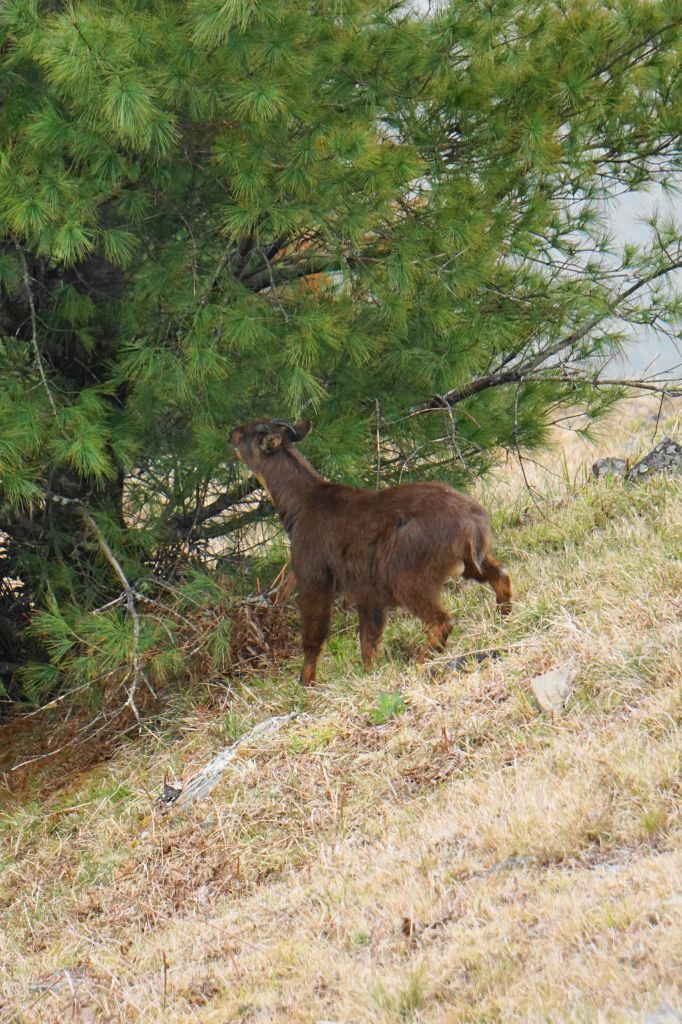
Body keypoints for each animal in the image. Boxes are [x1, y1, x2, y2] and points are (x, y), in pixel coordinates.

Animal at [228, 415, 509, 688]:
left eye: (245, 434)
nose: (230, 435)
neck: (301, 505)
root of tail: (471, 519)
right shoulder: (368, 590)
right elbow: (369, 640)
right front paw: (369, 676)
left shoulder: (313, 577)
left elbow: (314, 634)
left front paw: (306, 684)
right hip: (472, 562)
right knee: (502, 576)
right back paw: (503, 620)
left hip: (408, 576)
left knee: (441, 621)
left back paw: (419, 663)